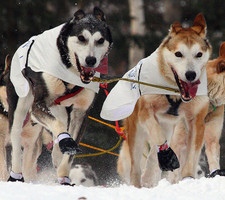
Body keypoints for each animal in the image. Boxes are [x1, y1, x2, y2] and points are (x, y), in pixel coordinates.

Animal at [7, 7, 112, 186]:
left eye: (100, 40)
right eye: (81, 38)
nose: (90, 60)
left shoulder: (81, 112)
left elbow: (69, 153)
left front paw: (64, 175)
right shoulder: (38, 105)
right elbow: (59, 128)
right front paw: (66, 141)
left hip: (59, 110)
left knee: (59, 130)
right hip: (21, 105)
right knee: (16, 138)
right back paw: (16, 175)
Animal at [102, 13, 211, 187]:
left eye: (199, 54)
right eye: (178, 54)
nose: (191, 75)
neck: (175, 92)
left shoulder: (197, 121)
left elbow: (191, 157)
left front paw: (187, 178)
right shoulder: (146, 112)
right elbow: (158, 136)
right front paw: (166, 155)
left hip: (169, 127)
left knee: (153, 155)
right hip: (137, 134)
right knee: (137, 166)